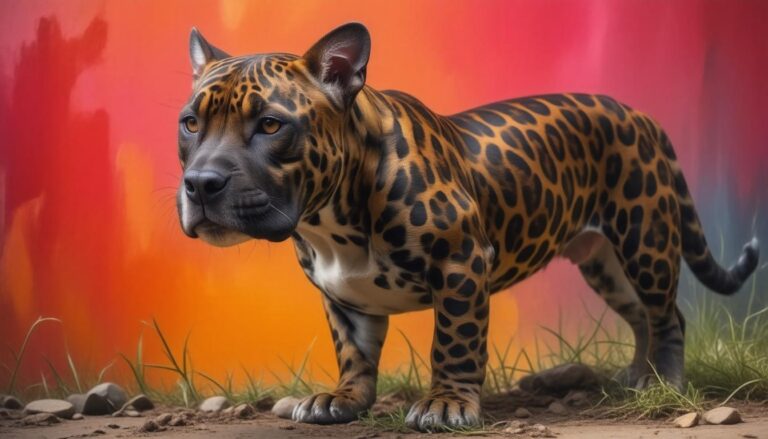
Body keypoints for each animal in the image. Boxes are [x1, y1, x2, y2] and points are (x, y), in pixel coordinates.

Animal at [176, 23, 759, 430]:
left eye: (271, 125)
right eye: (191, 123)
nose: (201, 184)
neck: (331, 220)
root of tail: (640, 115)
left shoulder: (461, 262)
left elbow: (454, 342)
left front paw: (447, 405)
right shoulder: (341, 295)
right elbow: (354, 352)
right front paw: (341, 400)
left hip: (645, 240)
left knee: (667, 316)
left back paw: (666, 383)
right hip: (605, 262)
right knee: (639, 315)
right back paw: (639, 377)